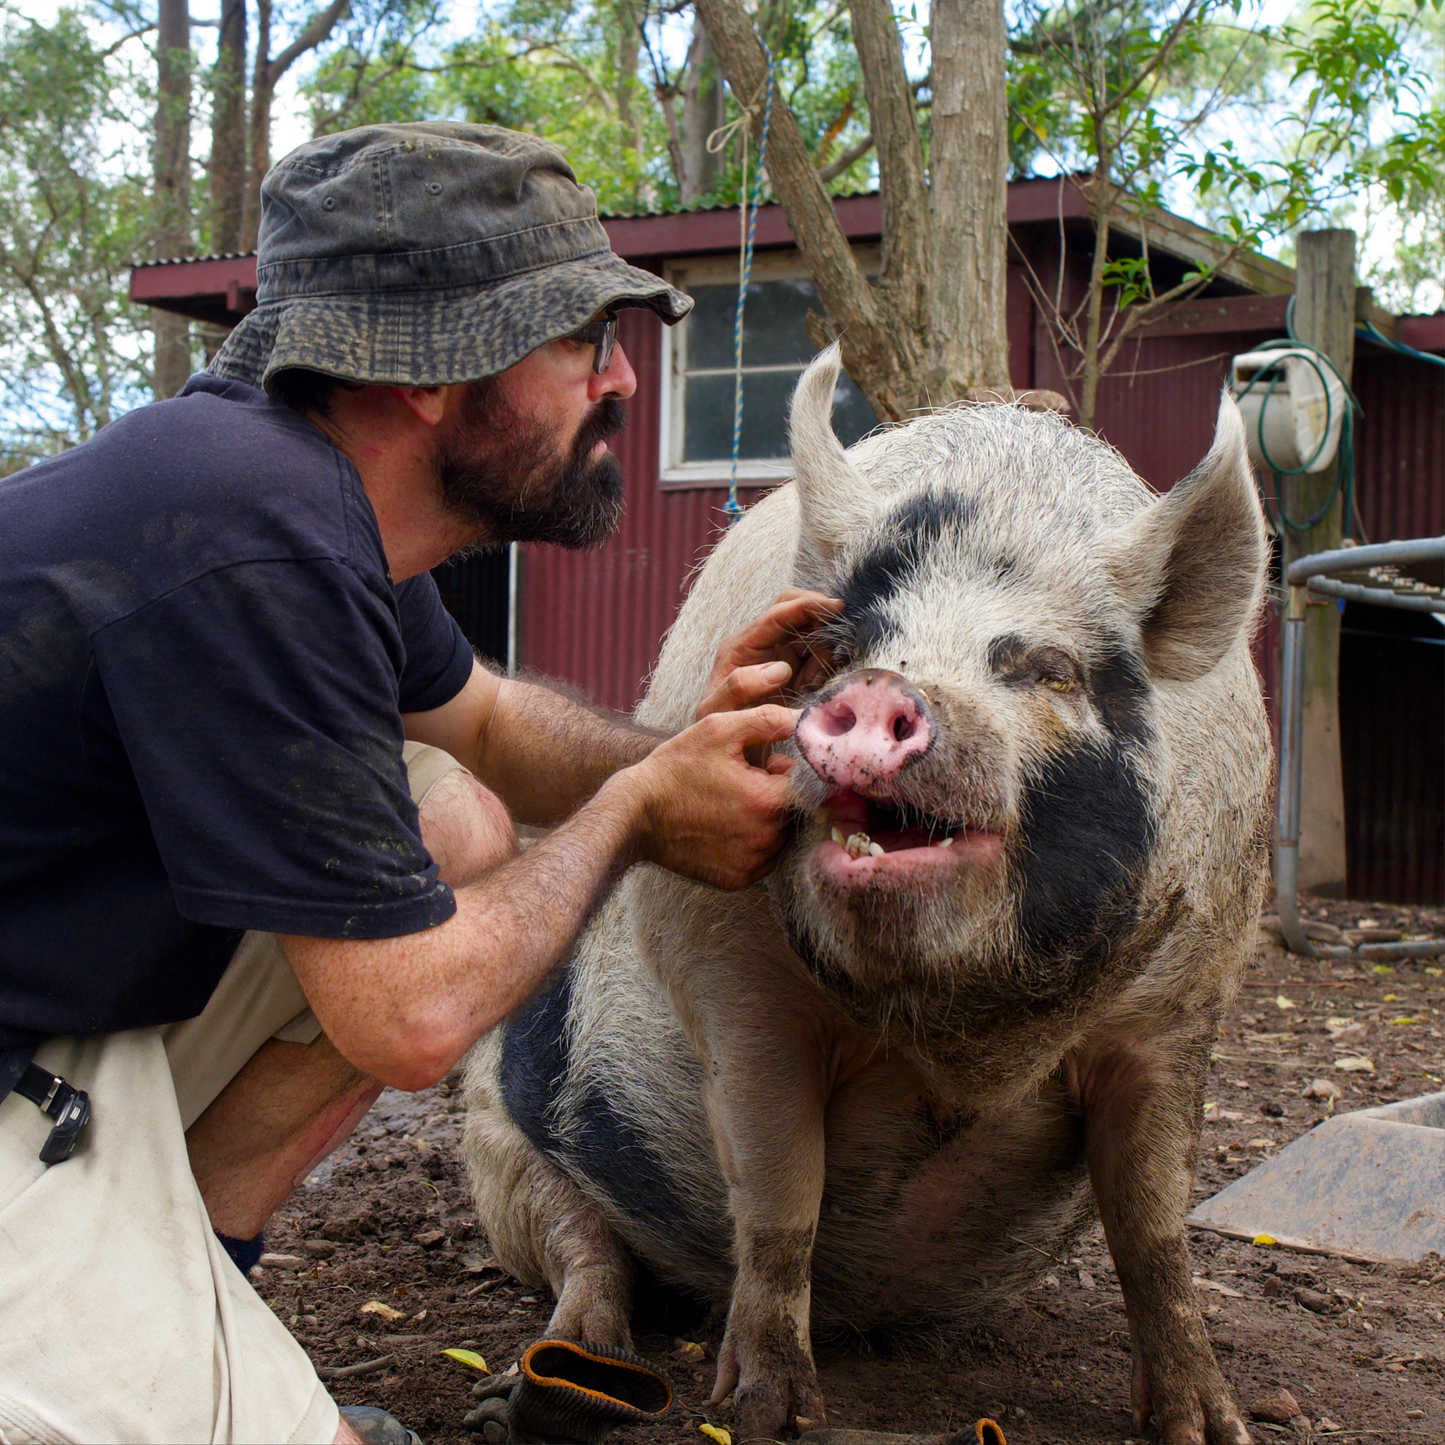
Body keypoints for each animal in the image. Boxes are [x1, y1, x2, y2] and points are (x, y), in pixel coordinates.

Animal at [462, 344, 1270, 1445]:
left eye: (1048, 668)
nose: (885, 688)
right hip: (493, 1136)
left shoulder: (1183, 998)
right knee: (583, 1250)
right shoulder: (734, 982)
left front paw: (1208, 1427)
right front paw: (767, 1410)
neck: (955, 1032)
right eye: (841, 650)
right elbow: (778, 1194)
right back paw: (535, 1391)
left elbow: (1153, 1225)